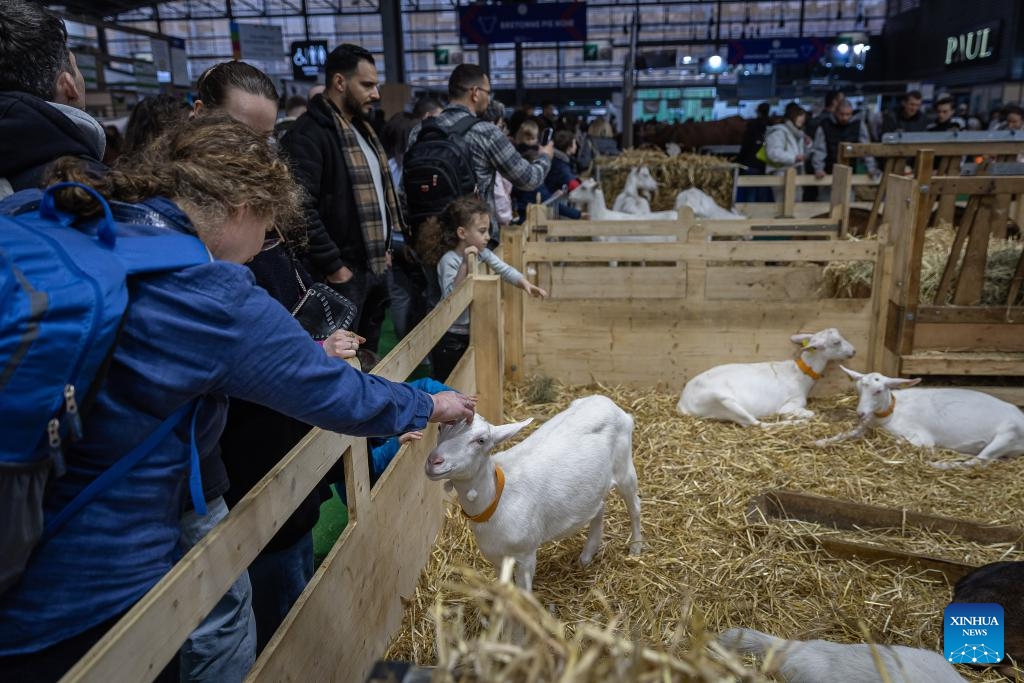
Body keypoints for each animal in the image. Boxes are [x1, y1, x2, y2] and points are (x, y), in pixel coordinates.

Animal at [423, 395, 638, 593]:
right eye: (440, 427)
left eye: (481, 440)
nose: (434, 461)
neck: (497, 499)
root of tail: (605, 400)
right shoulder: (496, 557)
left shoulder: (525, 554)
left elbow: (524, 592)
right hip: (593, 487)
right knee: (599, 507)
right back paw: (587, 556)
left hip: (625, 467)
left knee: (635, 506)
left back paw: (635, 550)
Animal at [679, 327, 856, 428]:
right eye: (836, 342)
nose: (854, 351)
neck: (799, 375)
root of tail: (683, 403)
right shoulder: (791, 404)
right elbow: (805, 412)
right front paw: (802, 418)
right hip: (724, 402)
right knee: (757, 425)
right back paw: (799, 423)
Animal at [815, 368, 1024, 471]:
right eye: (858, 389)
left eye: (878, 390)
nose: (860, 413)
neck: (892, 413)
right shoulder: (866, 426)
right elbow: (846, 433)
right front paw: (819, 441)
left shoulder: (921, 437)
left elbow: (899, 443)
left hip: (1007, 435)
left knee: (980, 462)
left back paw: (939, 464)